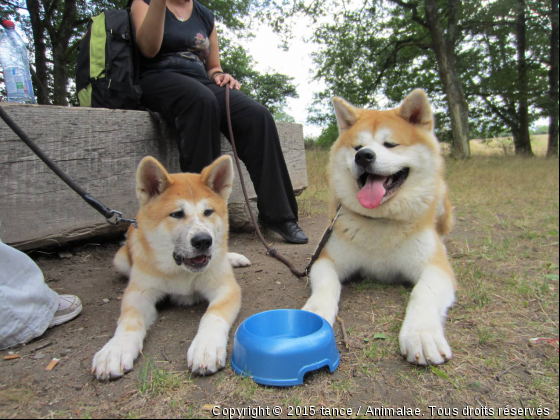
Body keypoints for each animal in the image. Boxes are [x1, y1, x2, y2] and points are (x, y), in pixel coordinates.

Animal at [92, 156, 249, 378]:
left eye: (208, 212)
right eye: (176, 214)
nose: (203, 241)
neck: (180, 271)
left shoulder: (226, 288)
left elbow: (213, 315)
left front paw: (206, 346)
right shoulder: (138, 294)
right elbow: (130, 320)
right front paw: (115, 349)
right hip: (120, 260)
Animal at [302, 89, 456, 364]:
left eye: (390, 144)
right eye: (357, 147)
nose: (363, 156)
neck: (381, 221)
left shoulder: (436, 269)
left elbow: (423, 293)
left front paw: (421, 334)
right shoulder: (326, 259)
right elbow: (328, 285)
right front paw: (315, 312)